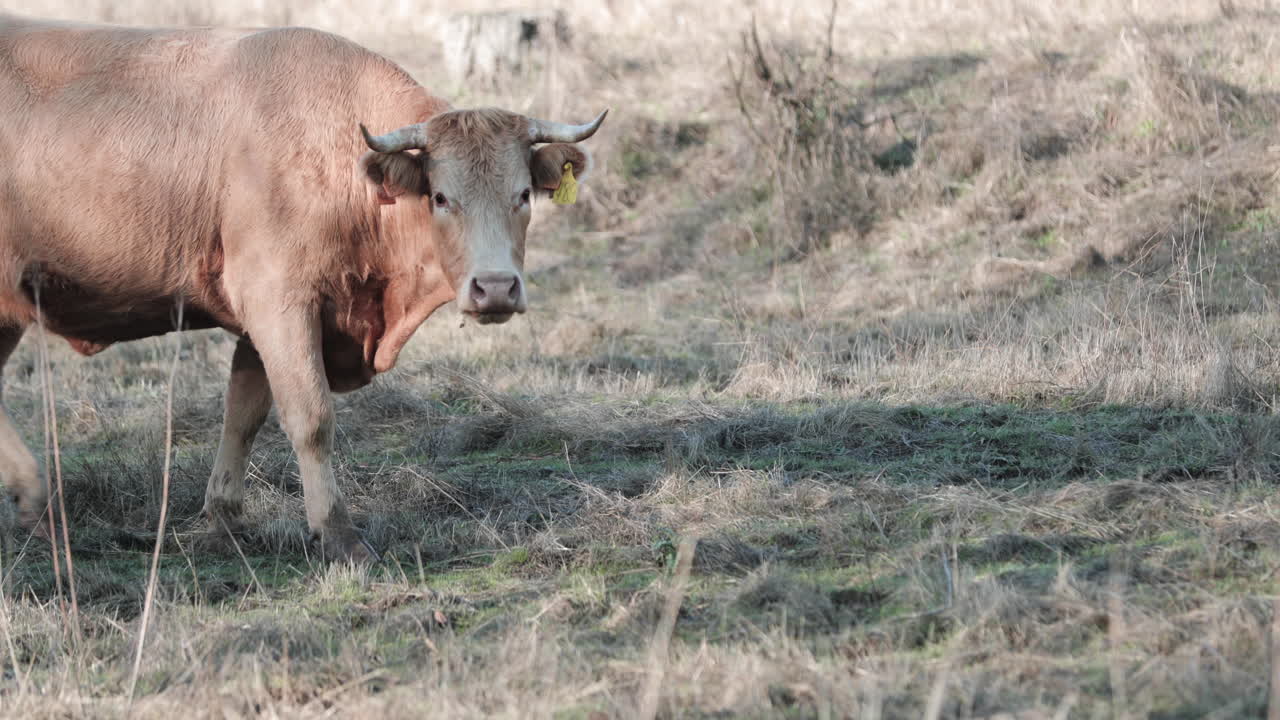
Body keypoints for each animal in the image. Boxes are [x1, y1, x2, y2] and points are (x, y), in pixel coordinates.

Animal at [0, 14, 606, 563]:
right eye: (440, 197)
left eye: (523, 194)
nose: (496, 288)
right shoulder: (278, 299)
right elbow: (311, 418)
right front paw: (339, 536)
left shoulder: (263, 320)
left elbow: (244, 414)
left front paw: (223, 522)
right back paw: (38, 503)